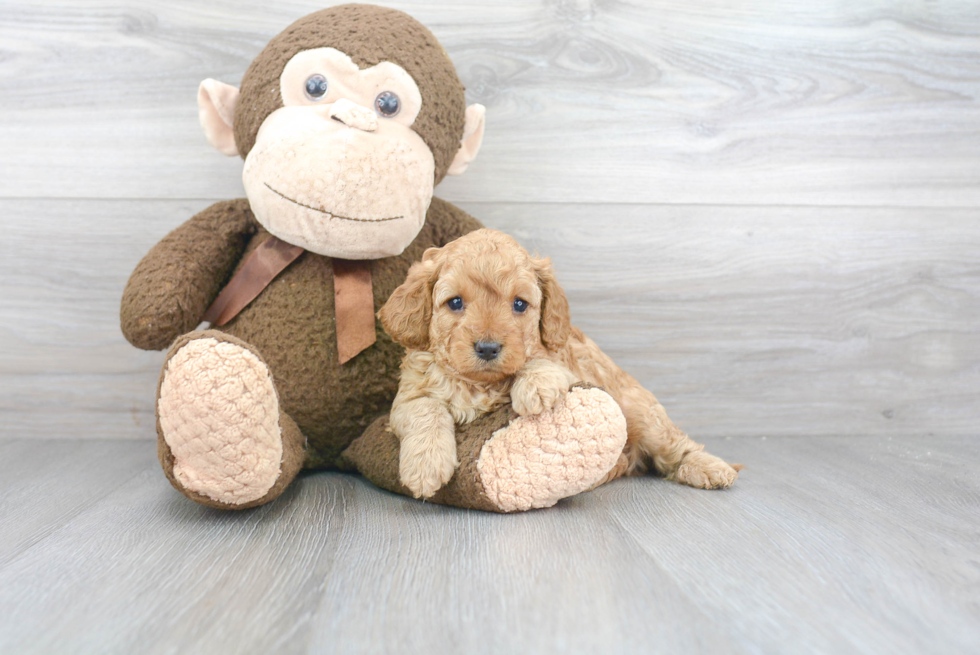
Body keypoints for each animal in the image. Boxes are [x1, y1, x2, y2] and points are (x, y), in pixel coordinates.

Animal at [378, 229, 740, 498]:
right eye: (454, 303)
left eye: (520, 304)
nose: (488, 348)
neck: (479, 383)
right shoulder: (406, 398)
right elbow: (426, 409)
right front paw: (425, 466)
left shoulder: (569, 362)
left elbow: (542, 361)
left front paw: (535, 386)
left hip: (641, 414)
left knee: (677, 444)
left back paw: (710, 468)